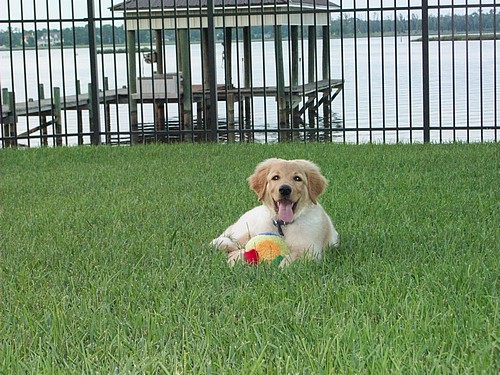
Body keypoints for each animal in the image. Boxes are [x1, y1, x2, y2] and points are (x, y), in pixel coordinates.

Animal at [211, 159, 340, 268]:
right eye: (276, 177)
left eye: (297, 178)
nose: (285, 189)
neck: (284, 225)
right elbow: (247, 250)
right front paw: (236, 258)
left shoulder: (311, 250)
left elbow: (295, 256)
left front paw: (283, 267)